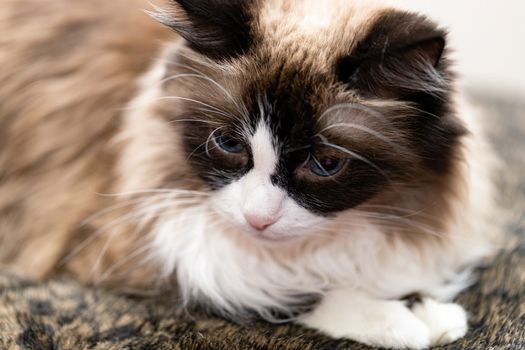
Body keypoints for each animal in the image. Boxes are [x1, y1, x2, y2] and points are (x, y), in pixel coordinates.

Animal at [0, 0, 498, 348]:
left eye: (325, 164)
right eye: (228, 144)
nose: (258, 220)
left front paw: (430, 312)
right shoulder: (140, 248)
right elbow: (283, 291)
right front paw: (404, 323)